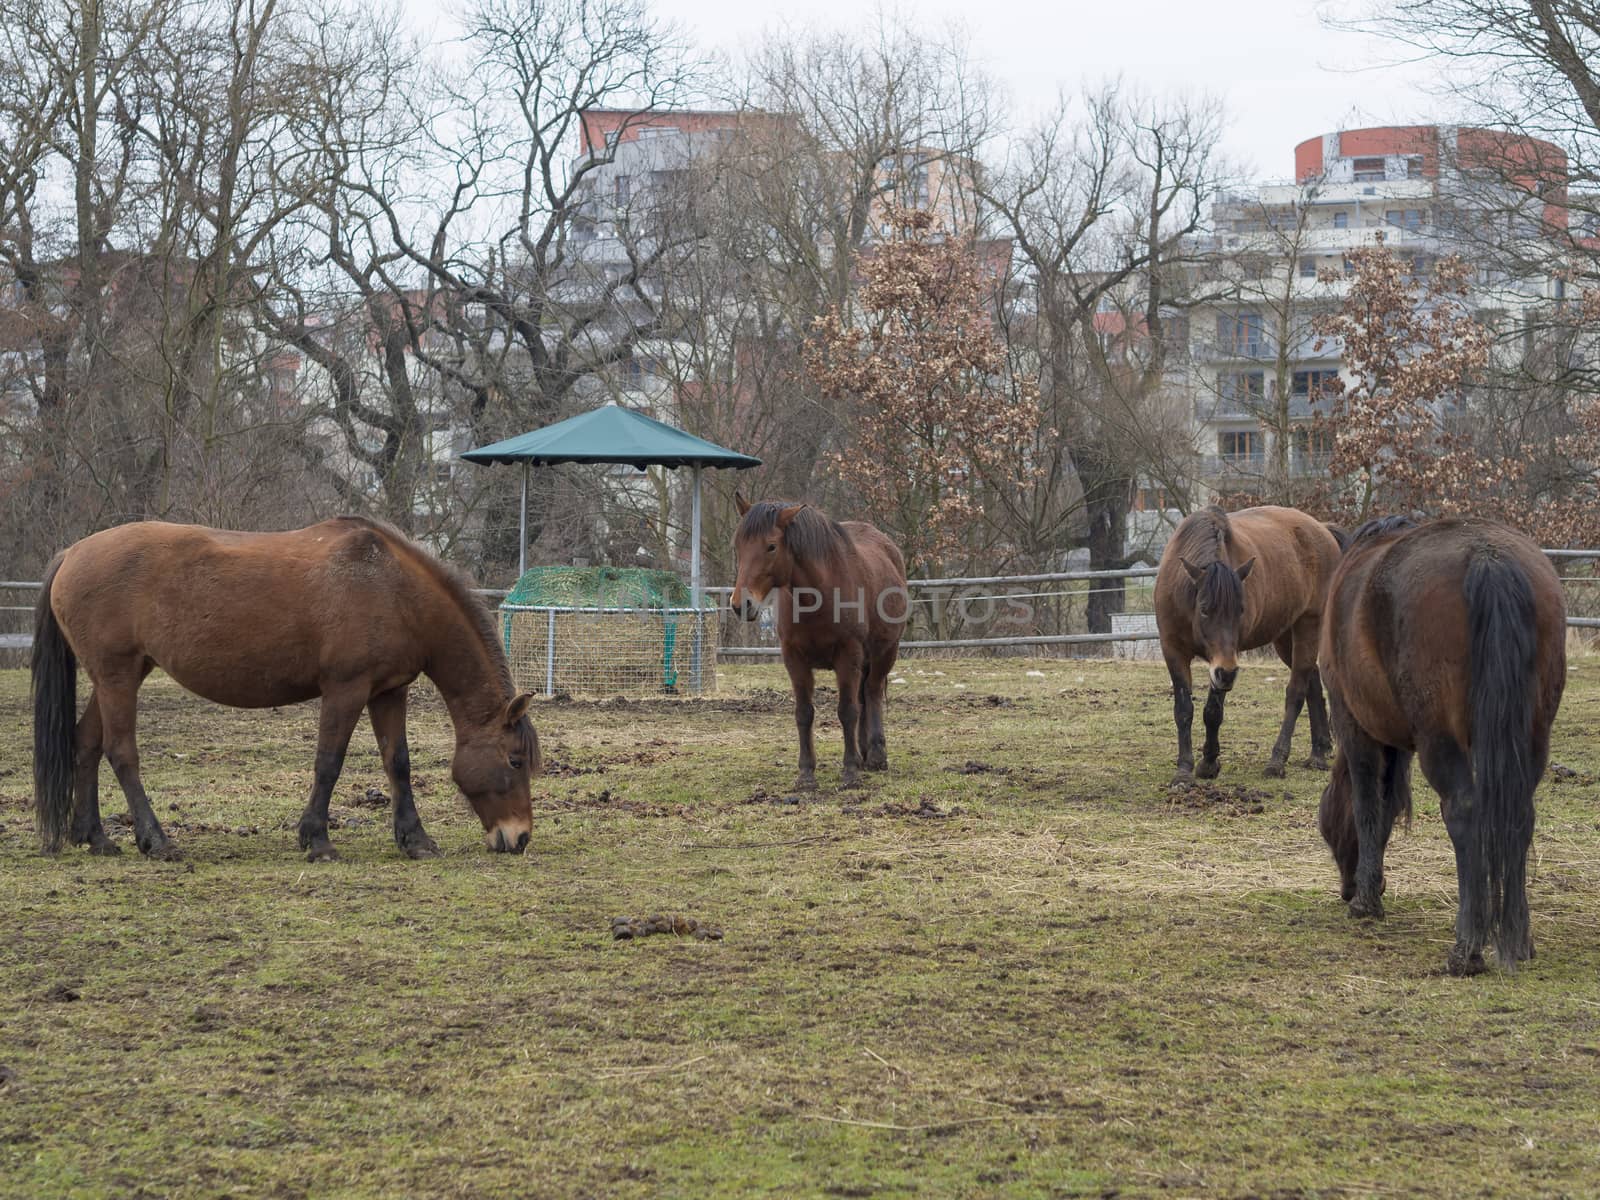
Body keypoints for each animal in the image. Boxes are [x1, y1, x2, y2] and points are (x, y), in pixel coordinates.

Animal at [31, 518, 540, 864]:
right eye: (515, 761)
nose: (519, 838)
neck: (394, 589)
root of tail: (72, 553)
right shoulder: (346, 690)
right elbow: (329, 762)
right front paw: (317, 840)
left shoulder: (388, 691)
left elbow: (397, 764)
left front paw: (415, 840)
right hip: (117, 677)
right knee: (121, 753)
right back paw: (156, 840)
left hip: (119, 677)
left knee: (86, 744)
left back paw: (95, 837)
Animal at [732, 492, 908, 793]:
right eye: (738, 545)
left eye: (771, 546)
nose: (741, 605)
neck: (819, 596)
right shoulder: (794, 659)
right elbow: (804, 713)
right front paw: (806, 774)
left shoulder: (848, 655)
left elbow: (847, 711)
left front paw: (850, 771)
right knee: (864, 696)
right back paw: (863, 753)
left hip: (886, 652)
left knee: (871, 693)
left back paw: (875, 754)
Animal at [1158, 508, 1344, 790]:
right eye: (1204, 609)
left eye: (1241, 610)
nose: (1227, 674)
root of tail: (1322, 530)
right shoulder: (1173, 651)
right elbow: (1184, 710)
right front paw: (1184, 770)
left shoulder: (1224, 662)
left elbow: (1213, 711)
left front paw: (1208, 764)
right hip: (1285, 637)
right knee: (1311, 681)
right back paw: (1319, 753)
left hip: (1308, 625)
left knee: (1296, 691)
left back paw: (1277, 760)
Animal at [1318, 518, 1568, 979]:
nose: (1346, 888)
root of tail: (1489, 558)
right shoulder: (1395, 738)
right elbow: (1388, 804)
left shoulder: (1355, 724)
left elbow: (1368, 807)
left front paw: (1366, 902)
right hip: (1532, 736)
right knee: (1521, 816)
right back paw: (1518, 940)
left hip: (1440, 741)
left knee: (1464, 812)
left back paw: (1466, 950)